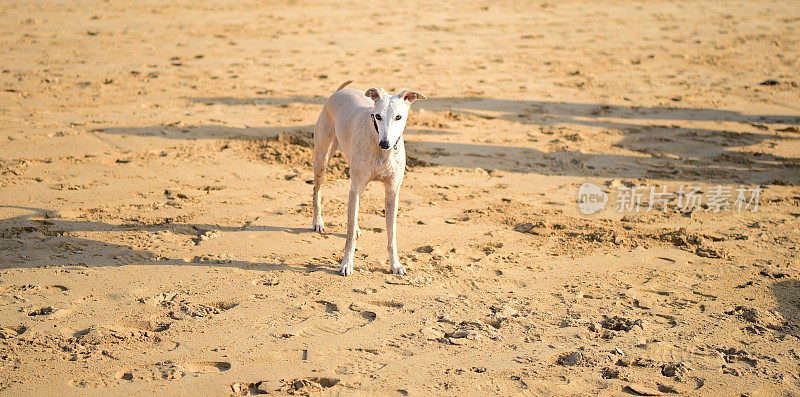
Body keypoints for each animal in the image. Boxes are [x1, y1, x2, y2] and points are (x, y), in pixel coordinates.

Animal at [310, 81, 424, 276]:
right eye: (377, 116)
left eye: (398, 117)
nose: (385, 144)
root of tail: (339, 91)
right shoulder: (356, 187)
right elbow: (349, 237)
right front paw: (346, 264)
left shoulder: (392, 192)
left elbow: (392, 234)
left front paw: (395, 264)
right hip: (322, 158)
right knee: (317, 189)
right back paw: (318, 222)